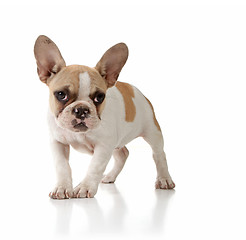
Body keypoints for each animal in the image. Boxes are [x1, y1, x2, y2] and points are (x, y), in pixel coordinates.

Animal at [33, 35, 175, 200]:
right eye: (61, 94)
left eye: (99, 97)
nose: (81, 109)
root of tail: (134, 89)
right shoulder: (58, 142)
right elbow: (62, 166)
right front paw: (62, 188)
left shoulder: (104, 145)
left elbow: (95, 166)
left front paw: (85, 187)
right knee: (122, 155)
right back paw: (110, 176)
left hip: (152, 131)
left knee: (159, 154)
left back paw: (164, 179)